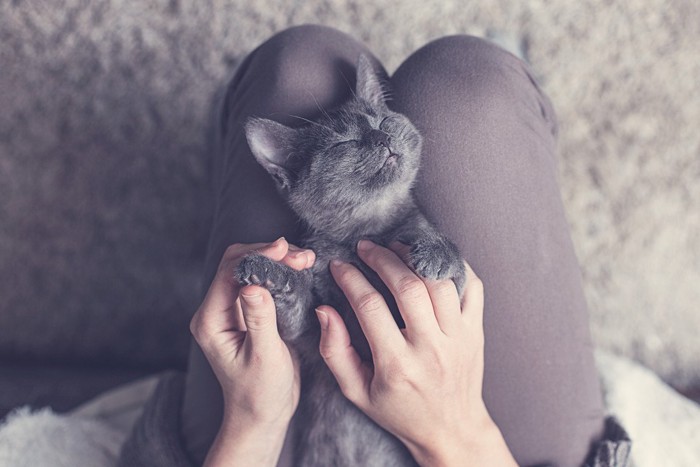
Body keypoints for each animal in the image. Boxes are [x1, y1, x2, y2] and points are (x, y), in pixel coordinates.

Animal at [235, 54, 464, 467]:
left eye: (383, 122)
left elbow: (450, 266)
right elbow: (297, 315)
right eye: (346, 142)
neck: (364, 233)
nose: (380, 138)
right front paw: (268, 271)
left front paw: (437, 253)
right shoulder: (311, 335)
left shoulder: (451, 290)